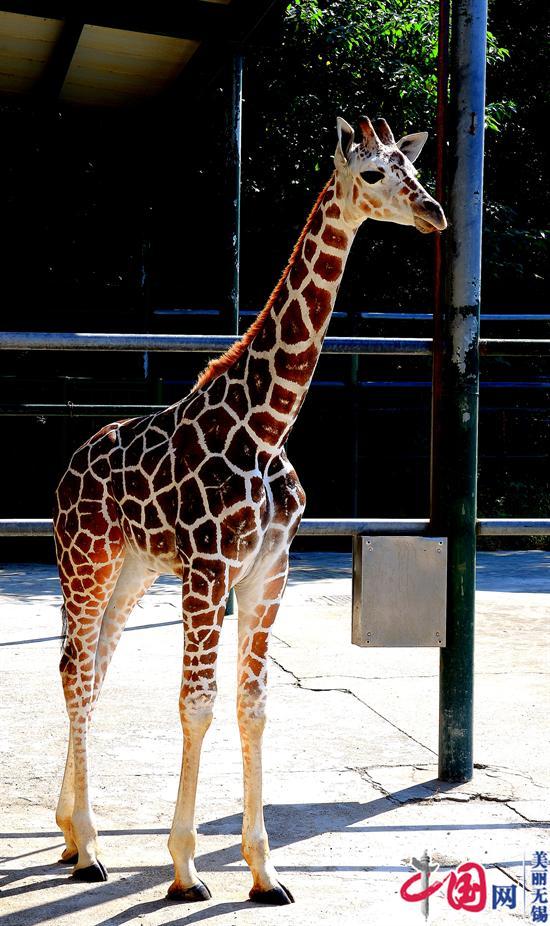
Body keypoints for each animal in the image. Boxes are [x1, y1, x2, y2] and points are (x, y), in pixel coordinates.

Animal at [54, 116, 446, 908]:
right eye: (373, 174)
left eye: (412, 169)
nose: (436, 214)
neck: (266, 426)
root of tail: (69, 467)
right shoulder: (208, 571)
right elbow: (197, 703)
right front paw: (184, 868)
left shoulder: (270, 570)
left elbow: (254, 706)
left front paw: (265, 871)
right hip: (86, 562)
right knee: (76, 670)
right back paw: (91, 850)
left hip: (132, 573)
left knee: (92, 668)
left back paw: (74, 833)